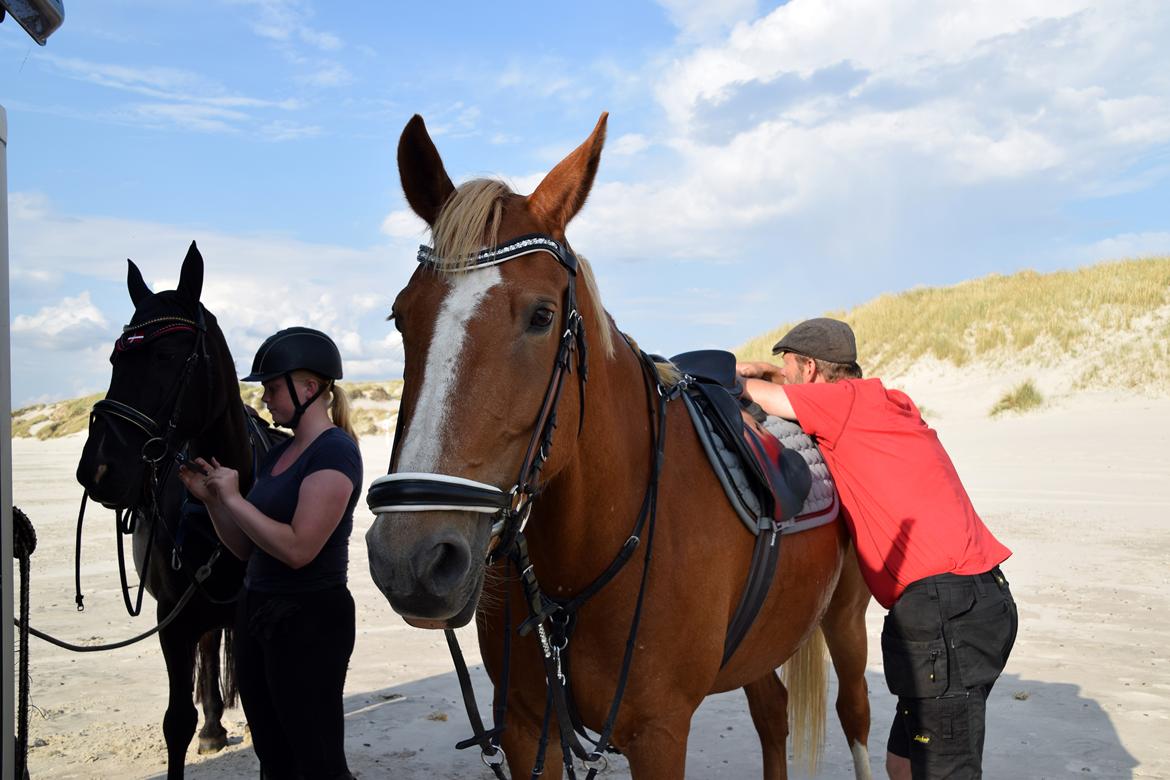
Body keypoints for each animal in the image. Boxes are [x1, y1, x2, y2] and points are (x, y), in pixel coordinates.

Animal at [76, 240, 274, 776]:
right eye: (113, 357)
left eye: (166, 355)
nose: (97, 469)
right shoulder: (173, 617)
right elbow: (177, 722)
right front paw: (201, 727)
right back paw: (212, 728)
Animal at [365, 112, 870, 776]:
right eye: (402, 317)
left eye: (542, 316)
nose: (410, 560)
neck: (580, 565)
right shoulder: (528, 729)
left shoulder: (659, 735)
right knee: (772, 713)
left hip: (847, 621)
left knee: (855, 716)